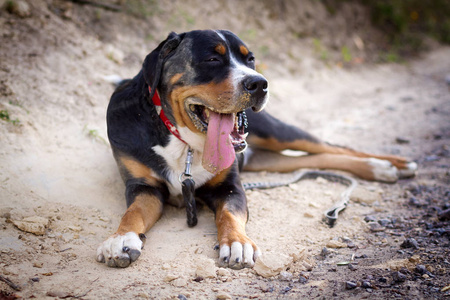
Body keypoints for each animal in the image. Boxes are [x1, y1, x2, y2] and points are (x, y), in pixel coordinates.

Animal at [96, 29, 416, 270]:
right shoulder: (144, 187)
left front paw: (237, 244)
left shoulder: (229, 187)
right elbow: (132, 213)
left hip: (277, 133)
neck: (184, 143)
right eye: (212, 58)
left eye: (250, 59)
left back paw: (389, 165)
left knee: (335, 147)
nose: (259, 83)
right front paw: (121, 240)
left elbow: (230, 215)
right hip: (265, 156)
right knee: (317, 157)